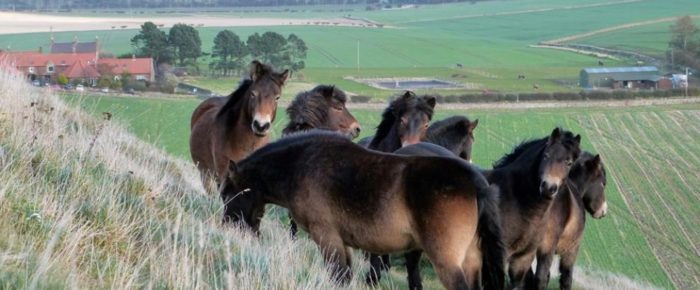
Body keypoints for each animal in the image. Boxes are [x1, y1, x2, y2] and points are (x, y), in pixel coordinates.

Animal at [219, 132, 504, 290]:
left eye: (228, 195)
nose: (228, 227)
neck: (302, 164)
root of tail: (475, 182)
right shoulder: (342, 242)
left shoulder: (327, 237)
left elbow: (338, 275)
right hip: (472, 261)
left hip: (447, 261)